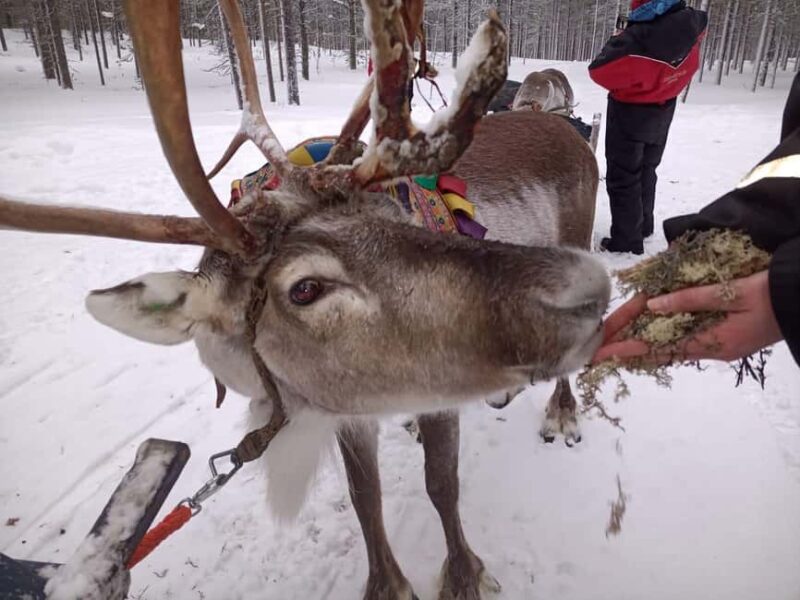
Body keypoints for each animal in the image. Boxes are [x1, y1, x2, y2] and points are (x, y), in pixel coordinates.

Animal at [0, 0, 608, 598]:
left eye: (396, 215)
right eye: (305, 287)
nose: (586, 289)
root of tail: (556, 121)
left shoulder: (432, 399)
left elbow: (441, 485)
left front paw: (464, 578)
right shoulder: (348, 406)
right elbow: (366, 497)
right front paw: (387, 586)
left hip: (577, 233)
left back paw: (561, 414)